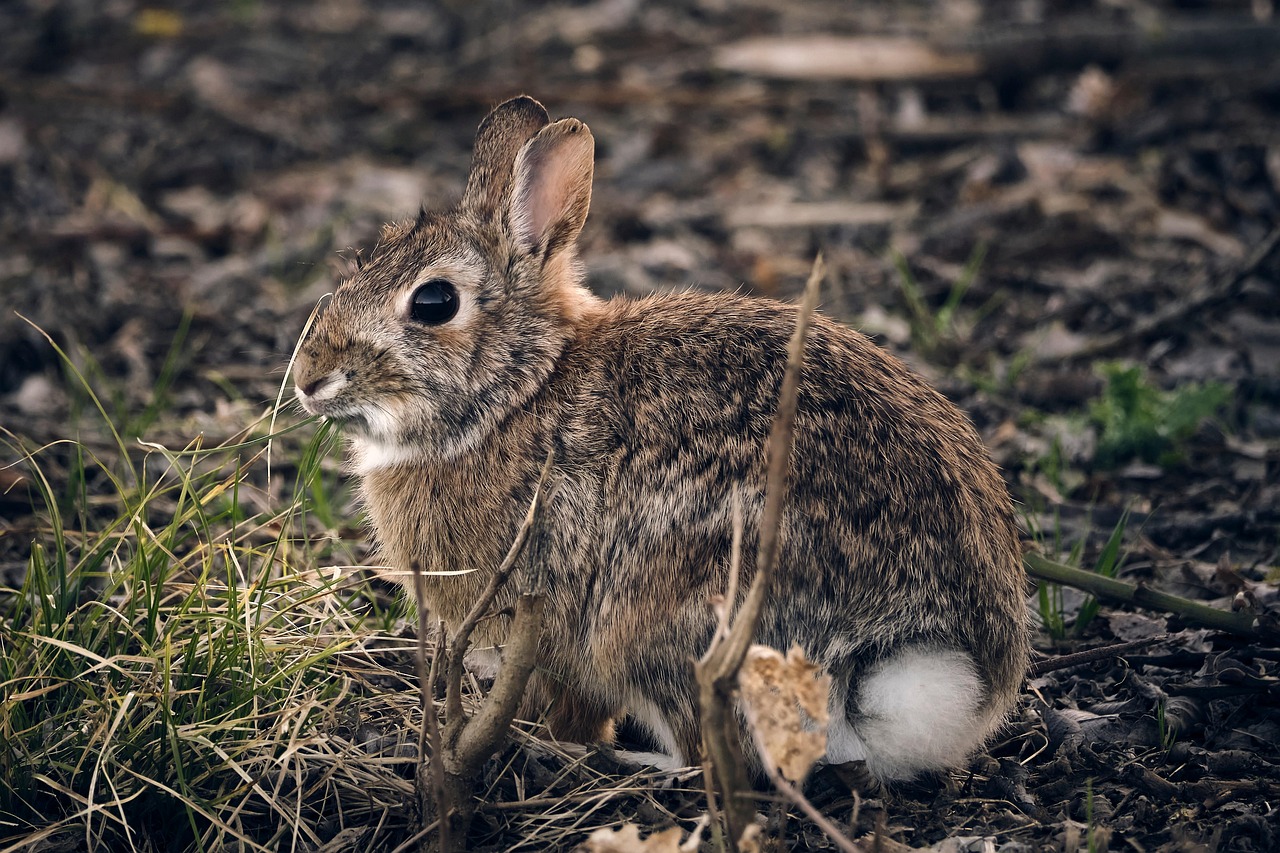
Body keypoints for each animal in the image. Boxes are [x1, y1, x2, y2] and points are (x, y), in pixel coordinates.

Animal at [290, 96, 1029, 778]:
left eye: (434, 302)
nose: (308, 379)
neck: (519, 390)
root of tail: (911, 656)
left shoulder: (546, 624)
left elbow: (567, 701)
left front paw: (549, 736)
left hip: (660, 619)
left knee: (710, 753)